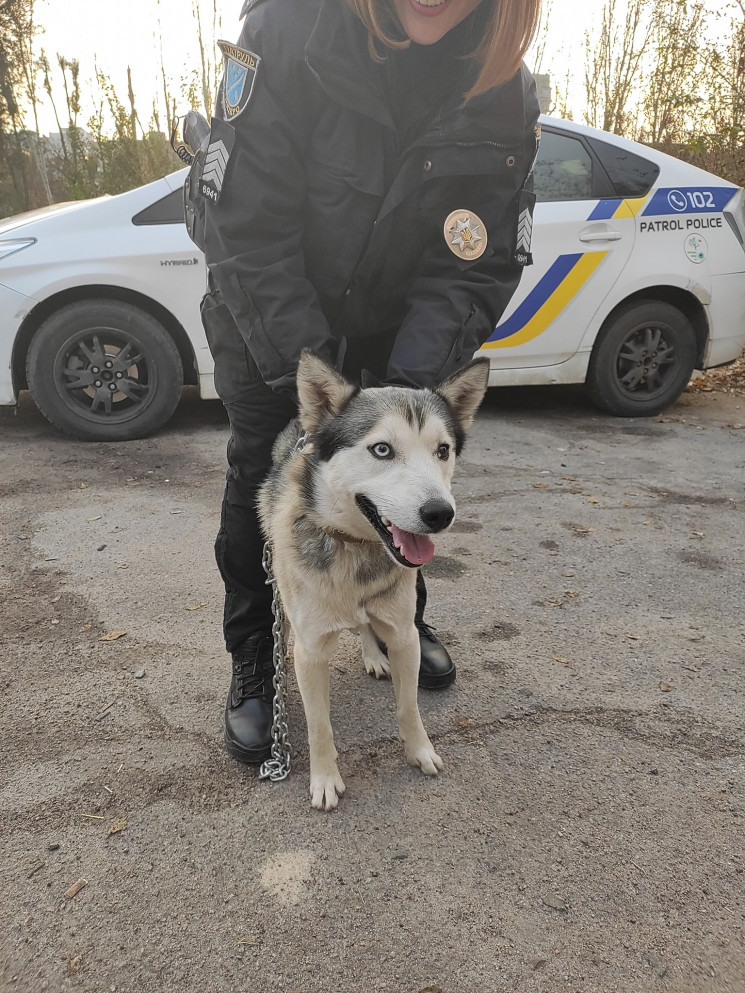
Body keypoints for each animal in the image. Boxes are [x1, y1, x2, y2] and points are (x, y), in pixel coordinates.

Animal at [258, 348, 492, 808]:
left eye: (442, 450)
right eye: (382, 449)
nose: (440, 514)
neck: (358, 549)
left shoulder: (405, 635)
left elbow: (409, 706)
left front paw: (420, 751)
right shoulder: (314, 651)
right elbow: (320, 725)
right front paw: (325, 779)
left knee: (367, 624)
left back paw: (372, 654)